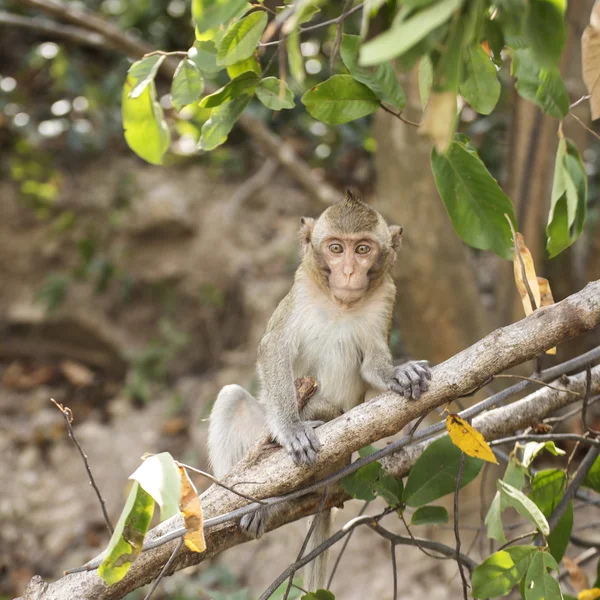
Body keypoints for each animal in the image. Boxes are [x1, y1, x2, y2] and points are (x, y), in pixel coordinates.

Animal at [207, 192, 432, 592]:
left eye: (362, 249)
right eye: (335, 248)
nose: (349, 272)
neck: (339, 303)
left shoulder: (386, 298)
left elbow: (372, 365)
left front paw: (398, 372)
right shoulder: (300, 291)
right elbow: (274, 349)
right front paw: (291, 429)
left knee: (326, 410)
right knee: (232, 397)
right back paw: (252, 502)